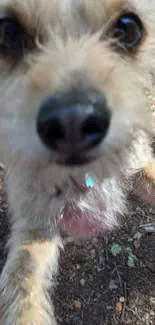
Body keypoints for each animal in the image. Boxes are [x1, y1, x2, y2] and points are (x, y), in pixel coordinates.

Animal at [0, 0, 155, 322]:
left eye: (128, 28)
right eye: (7, 31)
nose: (73, 122)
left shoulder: (138, 165)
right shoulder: (35, 228)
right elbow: (21, 287)